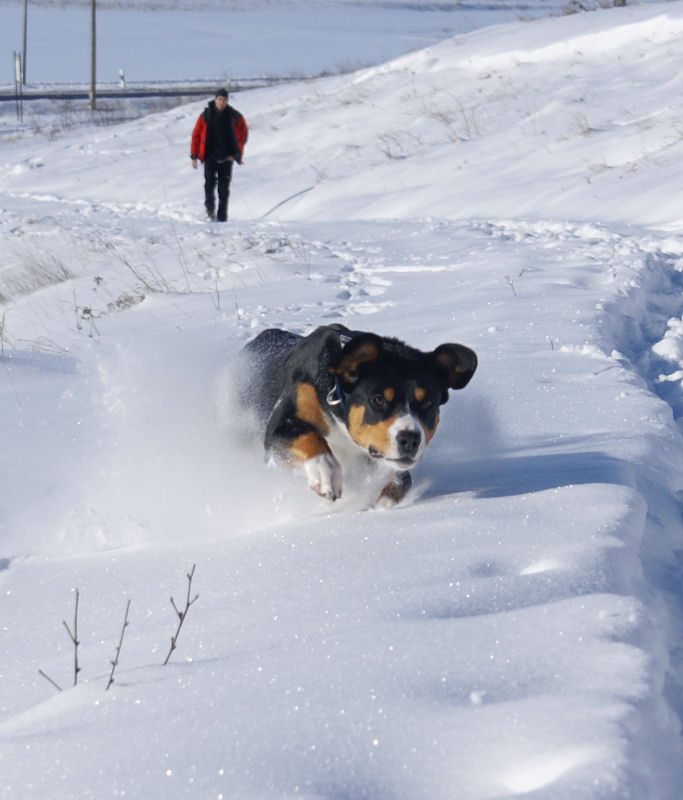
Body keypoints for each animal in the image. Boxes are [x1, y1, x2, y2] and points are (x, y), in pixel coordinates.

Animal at [239, 322, 476, 504]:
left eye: (428, 403)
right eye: (378, 399)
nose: (410, 439)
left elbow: (400, 482)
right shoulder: (278, 429)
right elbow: (310, 439)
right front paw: (326, 474)